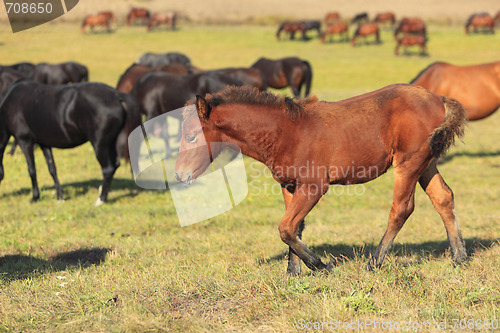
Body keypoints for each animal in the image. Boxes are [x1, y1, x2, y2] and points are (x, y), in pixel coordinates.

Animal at [0, 81, 141, 204]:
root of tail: (116, 95)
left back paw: (100, 200)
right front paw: (59, 196)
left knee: (108, 169)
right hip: (110, 143)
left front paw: (35, 197)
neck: (10, 103)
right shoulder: (44, 143)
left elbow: (32, 170)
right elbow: (52, 169)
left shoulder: (25, 141)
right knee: (115, 165)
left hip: (100, 144)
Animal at [175, 85, 468, 272]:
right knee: (444, 198)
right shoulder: (289, 186)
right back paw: (459, 257)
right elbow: (294, 227)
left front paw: (319, 266)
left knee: (401, 209)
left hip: (408, 165)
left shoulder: (315, 186)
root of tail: (438, 99)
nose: (179, 175)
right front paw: (293, 271)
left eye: (191, 137)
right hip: (426, 163)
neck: (285, 132)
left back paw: (374, 262)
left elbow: (285, 227)